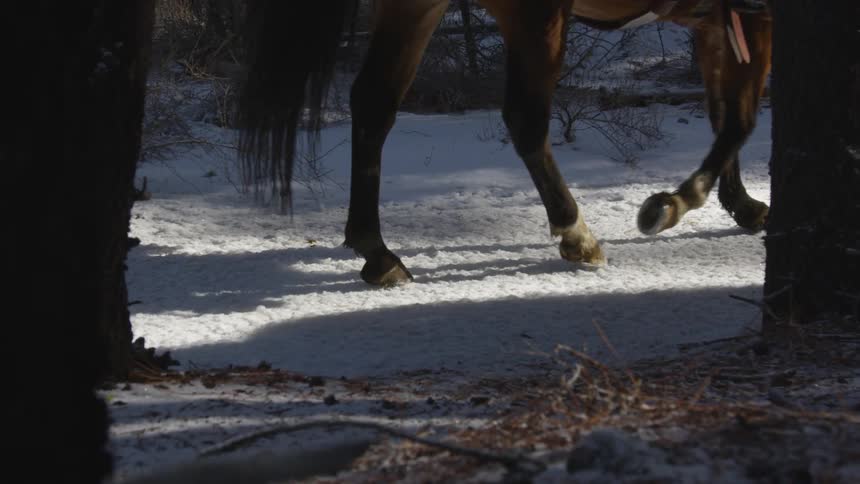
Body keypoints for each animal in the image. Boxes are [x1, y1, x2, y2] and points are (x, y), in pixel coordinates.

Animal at [238, 0, 772, 286]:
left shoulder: (718, 23)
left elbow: (723, 115)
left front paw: (742, 204)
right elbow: (739, 121)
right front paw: (672, 204)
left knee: (374, 105)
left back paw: (377, 251)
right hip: (536, 16)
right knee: (525, 120)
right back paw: (576, 233)